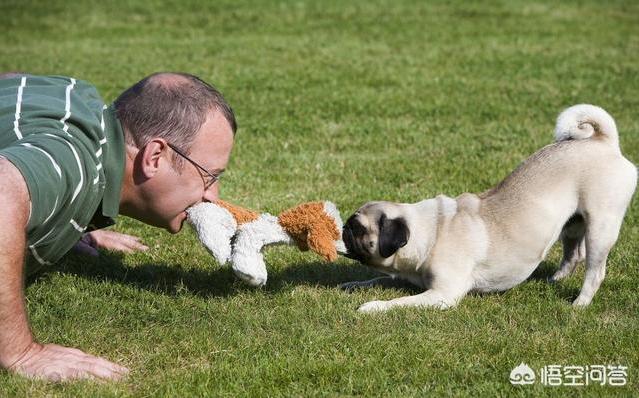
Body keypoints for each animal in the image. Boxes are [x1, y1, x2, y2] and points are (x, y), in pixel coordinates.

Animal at [342, 104, 636, 312]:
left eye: (358, 229)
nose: (343, 228)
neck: (430, 231)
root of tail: (604, 142)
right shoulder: (405, 277)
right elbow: (377, 280)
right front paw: (354, 284)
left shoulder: (443, 295)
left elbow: (399, 303)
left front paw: (372, 306)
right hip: (572, 224)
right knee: (573, 254)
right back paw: (556, 280)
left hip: (601, 227)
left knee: (595, 270)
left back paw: (580, 304)